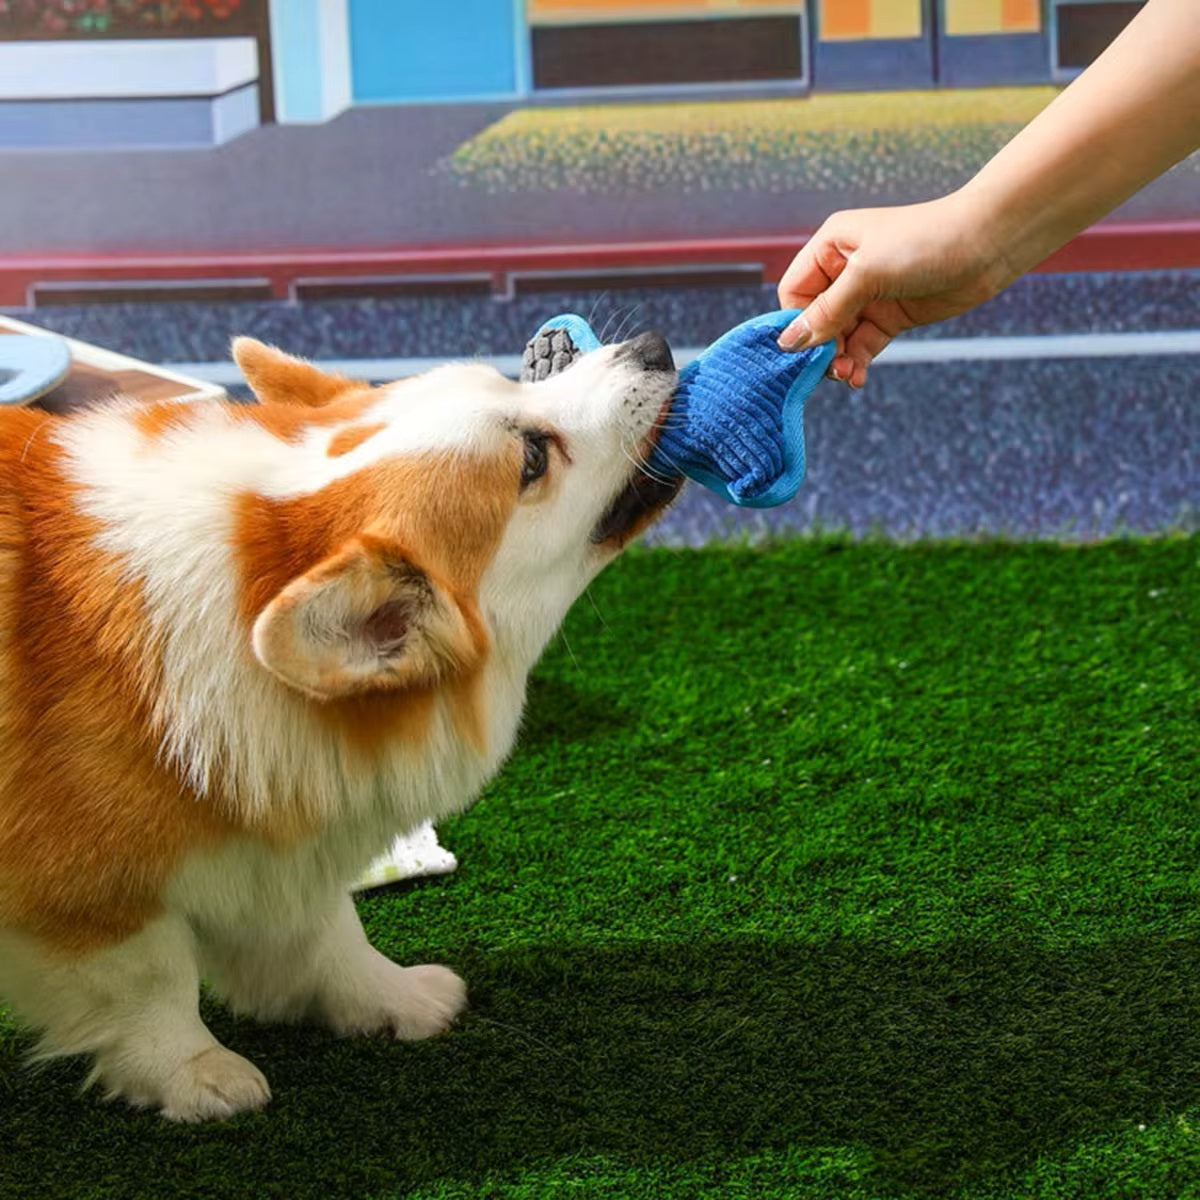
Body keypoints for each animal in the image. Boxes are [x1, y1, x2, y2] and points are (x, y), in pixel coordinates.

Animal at [0, 326, 681, 1113]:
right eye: (534, 459)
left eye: (508, 383)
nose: (656, 347)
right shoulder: (91, 892)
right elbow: (154, 982)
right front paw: (197, 1075)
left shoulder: (269, 843)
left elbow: (328, 932)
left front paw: (393, 998)